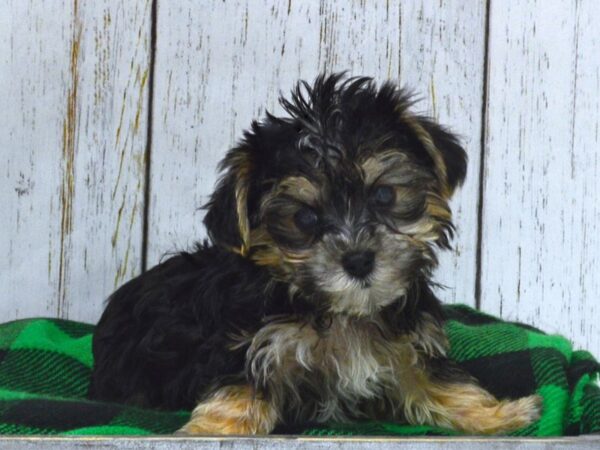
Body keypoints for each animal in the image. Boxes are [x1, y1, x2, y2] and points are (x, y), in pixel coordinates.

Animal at [90, 74, 544, 436]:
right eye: (305, 218)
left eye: (384, 195)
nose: (359, 260)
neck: (342, 314)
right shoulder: (249, 343)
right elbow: (240, 385)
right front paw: (213, 429)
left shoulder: (408, 340)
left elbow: (439, 381)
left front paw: (496, 414)